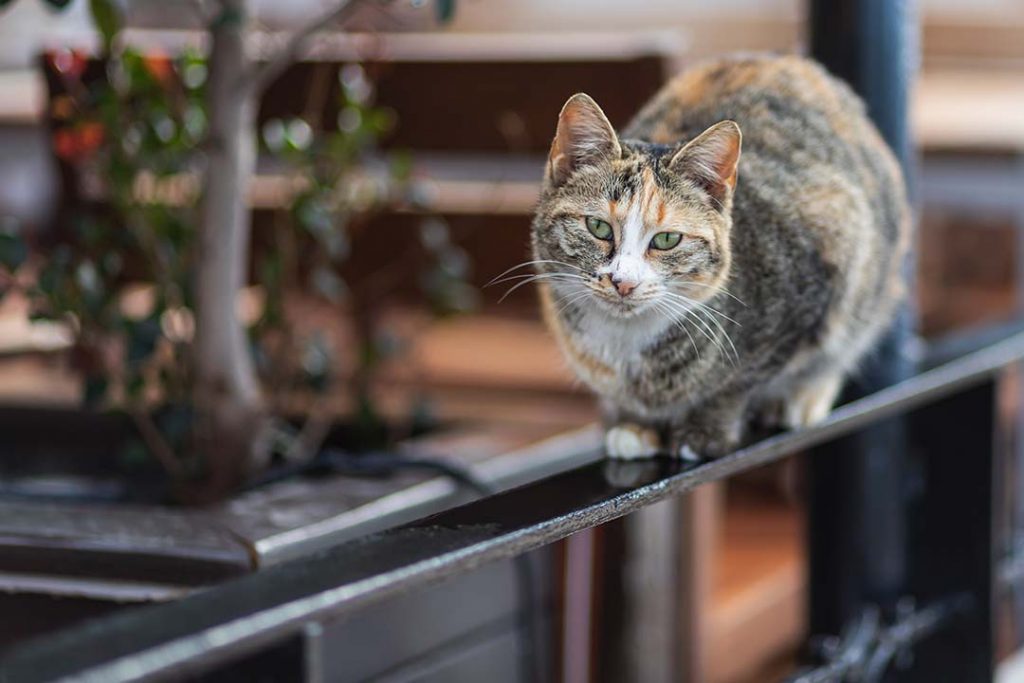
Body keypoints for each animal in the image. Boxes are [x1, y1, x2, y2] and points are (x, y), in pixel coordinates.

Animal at [524, 54, 909, 458]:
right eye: (598, 227)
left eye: (667, 239)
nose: (623, 282)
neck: (624, 340)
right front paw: (635, 424)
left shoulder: (821, 270)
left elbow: (739, 382)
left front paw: (703, 431)